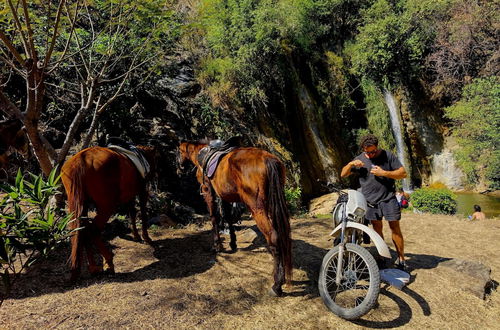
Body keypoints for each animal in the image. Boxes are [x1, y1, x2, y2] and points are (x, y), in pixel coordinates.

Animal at [62, 146, 156, 280]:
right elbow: (142, 213)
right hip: (107, 206)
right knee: (93, 231)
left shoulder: (130, 195)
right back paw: (109, 263)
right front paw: (146, 237)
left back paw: (93, 268)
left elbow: (132, 213)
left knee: (83, 230)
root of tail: (81, 159)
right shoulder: (142, 191)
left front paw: (136, 235)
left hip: (80, 204)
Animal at [178, 141, 292, 296]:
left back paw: (277, 285)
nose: (179, 167)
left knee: (273, 237)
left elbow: (214, 218)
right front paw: (233, 243)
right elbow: (228, 218)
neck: (200, 155)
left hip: (258, 209)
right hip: (273, 204)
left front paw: (217, 246)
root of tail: (268, 159)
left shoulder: (208, 193)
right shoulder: (225, 196)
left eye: (178, 152)